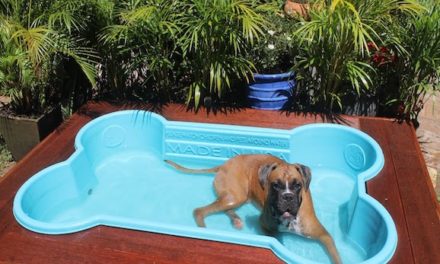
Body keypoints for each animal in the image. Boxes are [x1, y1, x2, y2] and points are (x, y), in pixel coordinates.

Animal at [165, 155, 340, 264]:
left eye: (297, 185)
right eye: (275, 185)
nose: (287, 197)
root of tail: (224, 164)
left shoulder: (325, 236)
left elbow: (336, 257)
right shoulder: (265, 226)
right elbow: (276, 237)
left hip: (237, 197)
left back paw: (235, 220)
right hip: (235, 196)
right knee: (199, 211)